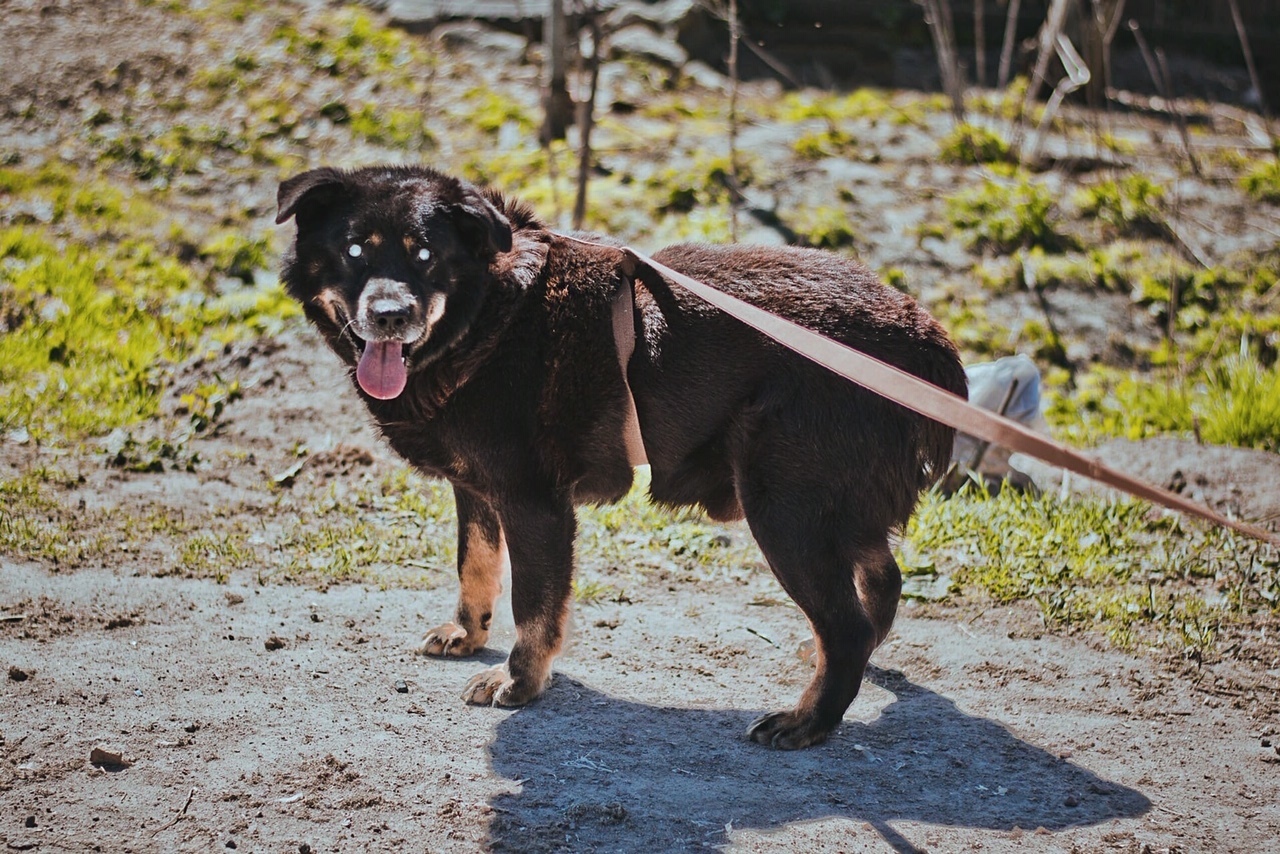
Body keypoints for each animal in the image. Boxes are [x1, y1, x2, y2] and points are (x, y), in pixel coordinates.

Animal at [275, 165, 962, 747]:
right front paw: (469, 635)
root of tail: (919, 331)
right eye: (355, 251)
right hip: (831, 504)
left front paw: (519, 682)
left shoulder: (535, 503)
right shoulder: (476, 488)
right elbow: (475, 565)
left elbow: (534, 605)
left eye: (424, 254)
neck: (489, 314)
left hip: (785, 507)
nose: (390, 316)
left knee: (846, 626)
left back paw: (807, 721)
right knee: (882, 580)